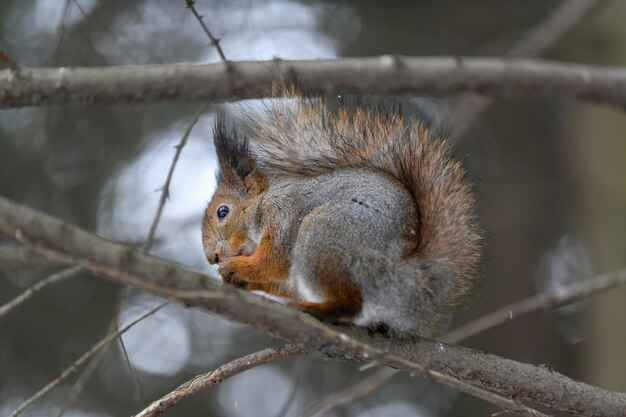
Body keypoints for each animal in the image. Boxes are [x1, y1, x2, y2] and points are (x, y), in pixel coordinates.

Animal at [202, 95, 480, 334]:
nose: (212, 257)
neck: (262, 203)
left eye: (223, 211)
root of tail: (406, 281)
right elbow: (283, 279)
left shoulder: (284, 215)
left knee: (351, 304)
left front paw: (237, 266)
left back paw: (313, 309)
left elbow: (274, 260)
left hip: (323, 234)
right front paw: (235, 276)